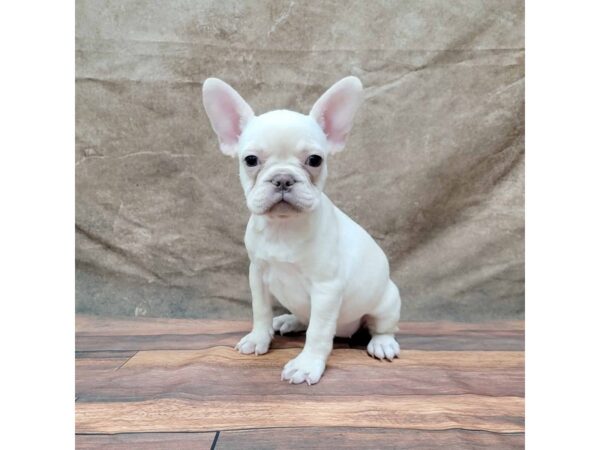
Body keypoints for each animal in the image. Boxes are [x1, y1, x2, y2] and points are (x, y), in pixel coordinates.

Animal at [203, 75, 404, 384]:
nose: (283, 178)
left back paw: (382, 343)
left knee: (381, 326)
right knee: (303, 317)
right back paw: (289, 319)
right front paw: (259, 337)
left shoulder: (326, 288)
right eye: (250, 160)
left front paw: (307, 364)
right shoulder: (257, 274)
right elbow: (260, 311)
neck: (283, 227)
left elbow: (318, 332)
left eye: (315, 160)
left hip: (387, 301)